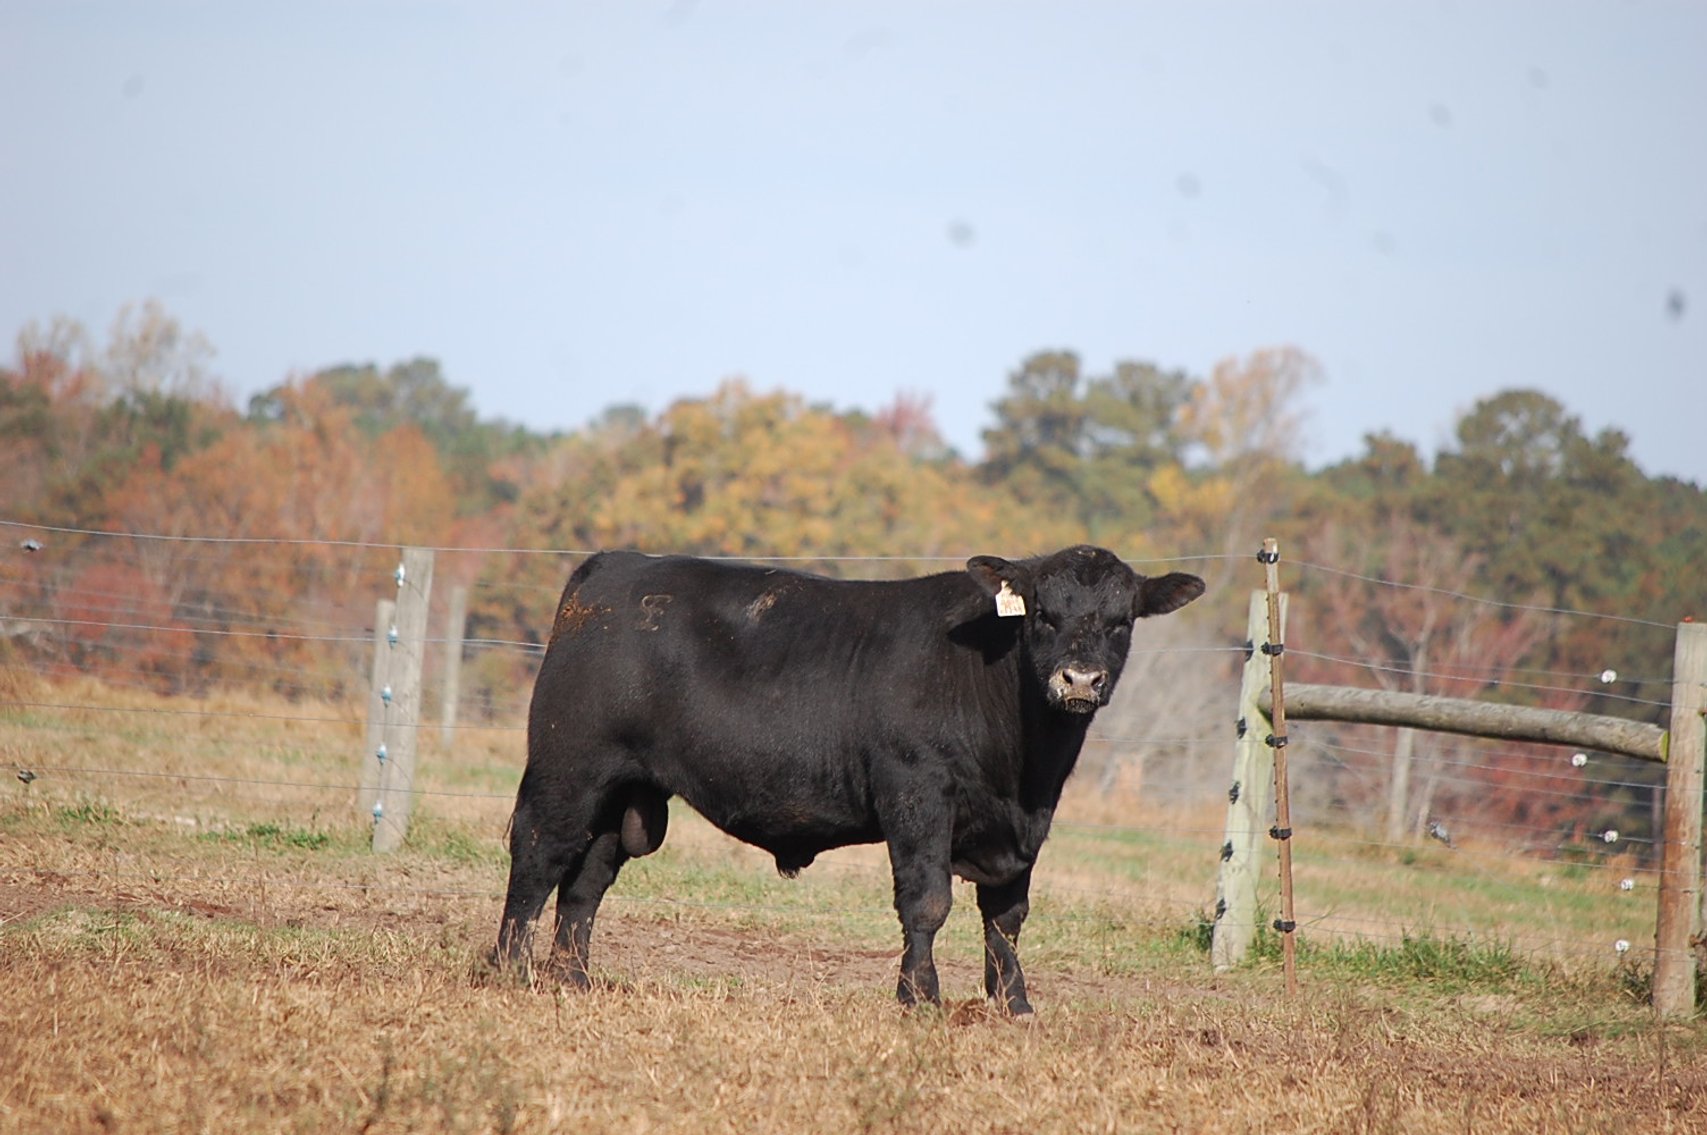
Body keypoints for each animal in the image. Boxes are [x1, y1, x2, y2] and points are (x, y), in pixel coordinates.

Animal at [493, 544, 1205, 1014]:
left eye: (1121, 621)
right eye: (1041, 615)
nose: (1079, 679)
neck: (1022, 766)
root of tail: (617, 562)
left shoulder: (1029, 821)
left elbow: (1007, 916)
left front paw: (1014, 1005)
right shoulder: (917, 792)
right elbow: (928, 901)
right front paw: (920, 998)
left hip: (624, 794)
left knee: (585, 883)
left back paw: (572, 980)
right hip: (568, 768)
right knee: (537, 857)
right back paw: (508, 970)